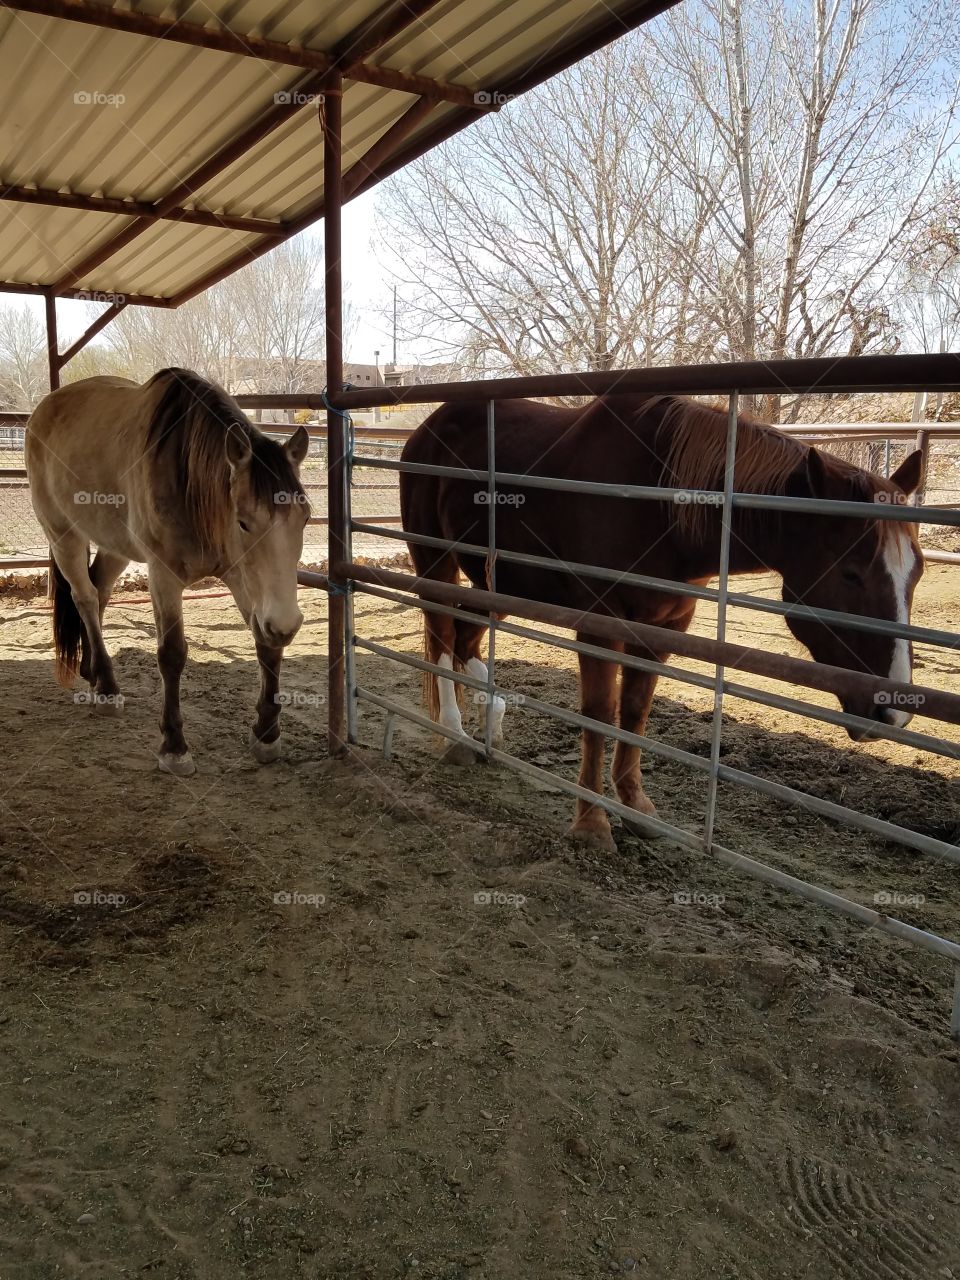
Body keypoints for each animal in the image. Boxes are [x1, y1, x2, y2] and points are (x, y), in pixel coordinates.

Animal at [26, 366, 309, 773]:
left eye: (306, 518)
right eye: (243, 523)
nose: (285, 624)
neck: (187, 476)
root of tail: (42, 411)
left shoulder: (241, 577)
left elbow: (266, 648)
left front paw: (266, 733)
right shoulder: (163, 575)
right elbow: (172, 653)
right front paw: (174, 745)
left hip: (115, 544)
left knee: (100, 591)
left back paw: (93, 672)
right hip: (63, 535)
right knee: (85, 597)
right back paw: (107, 689)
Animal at [399, 389, 926, 849]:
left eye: (916, 570)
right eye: (851, 573)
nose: (892, 710)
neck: (660, 506)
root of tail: (426, 427)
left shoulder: (665, 626)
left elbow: (635, 711)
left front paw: (636, 807)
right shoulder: (600, 623)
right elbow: (599, 714)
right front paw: (591, 822)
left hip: (497, 580)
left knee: (465, 638)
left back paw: (492, 720)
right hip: (436, 562)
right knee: (442, 637)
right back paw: (454, 734)